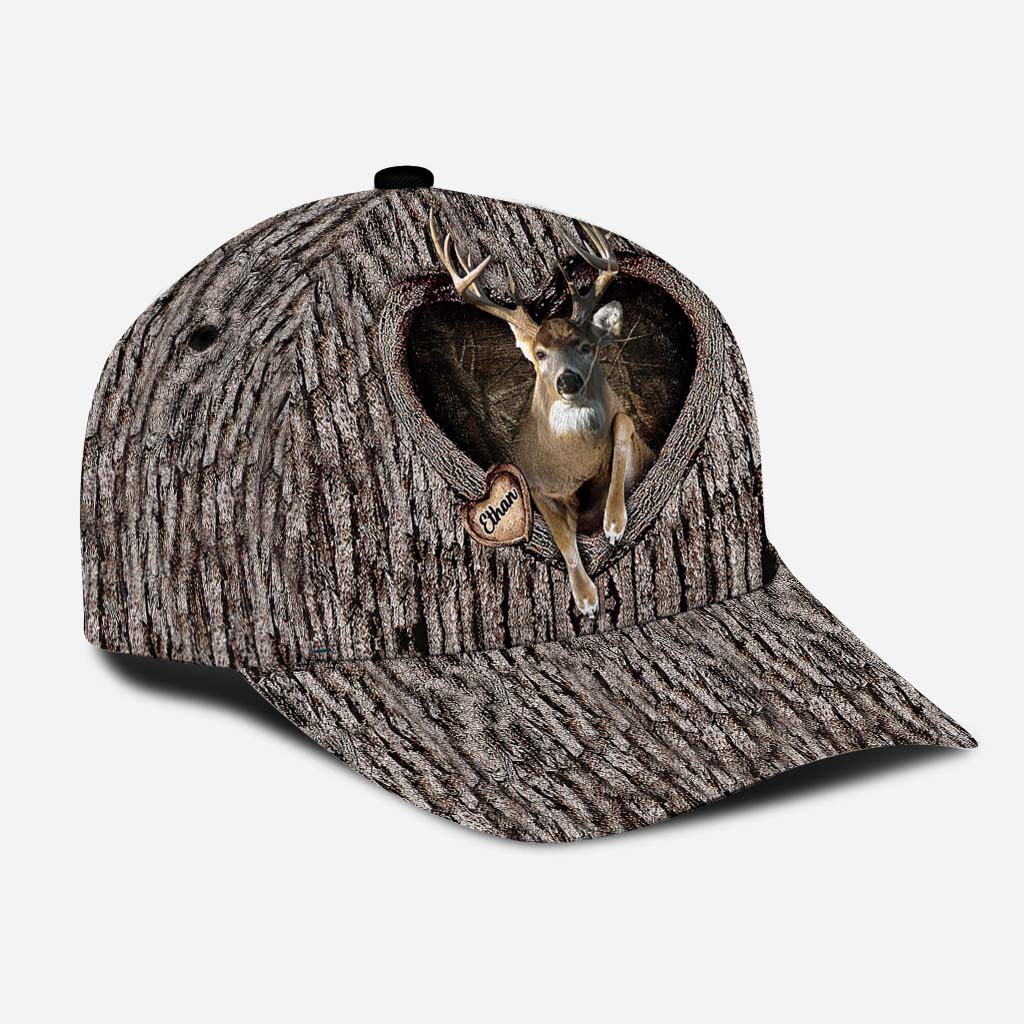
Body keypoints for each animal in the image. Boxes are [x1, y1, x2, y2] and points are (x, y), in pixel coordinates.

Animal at [429, 211, 653, 616]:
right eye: (540, 353)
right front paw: (586, 598)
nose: (568, 380)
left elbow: (623, 423)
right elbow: (563, 538)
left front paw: (614, 524)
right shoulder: (535, 484)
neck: (572, 460)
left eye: (586, 345)